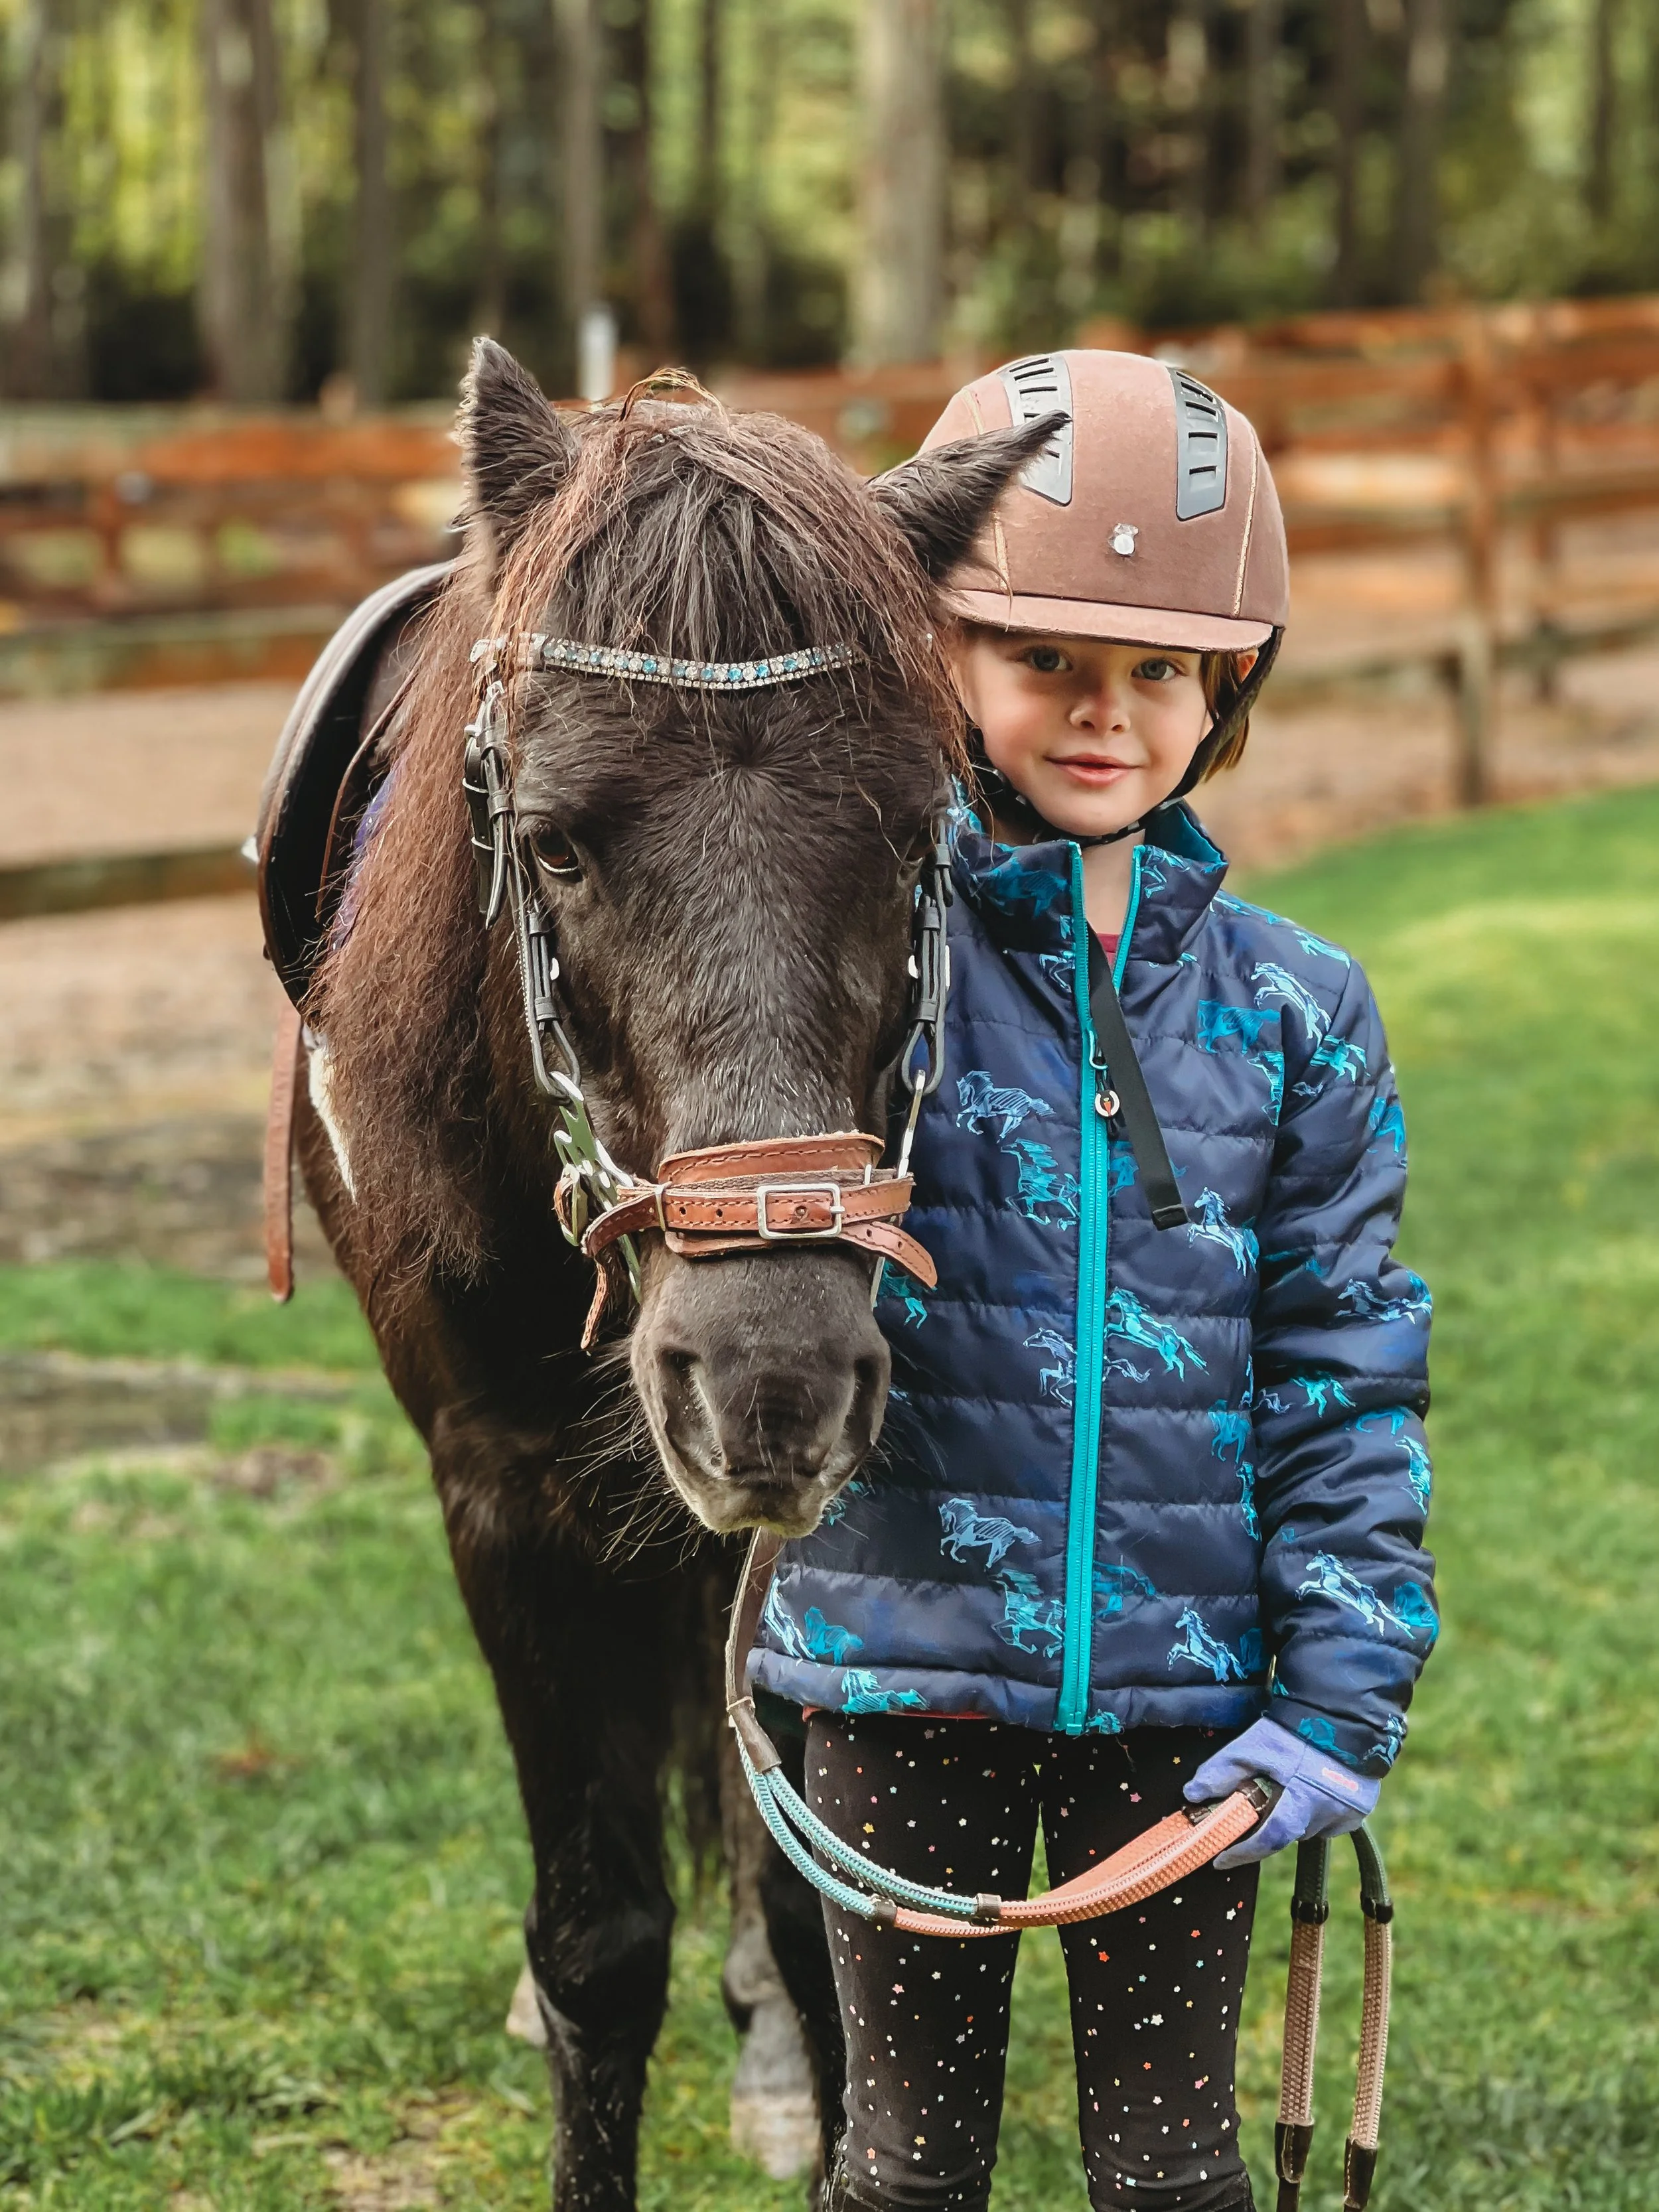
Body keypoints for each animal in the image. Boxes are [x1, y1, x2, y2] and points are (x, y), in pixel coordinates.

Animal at [284, 339, 1052, 2211]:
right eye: (555, 844)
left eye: (914, 839)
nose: (770, 1376)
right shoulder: (496, 1494)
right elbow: (596, 1941)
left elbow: (807, 1894)